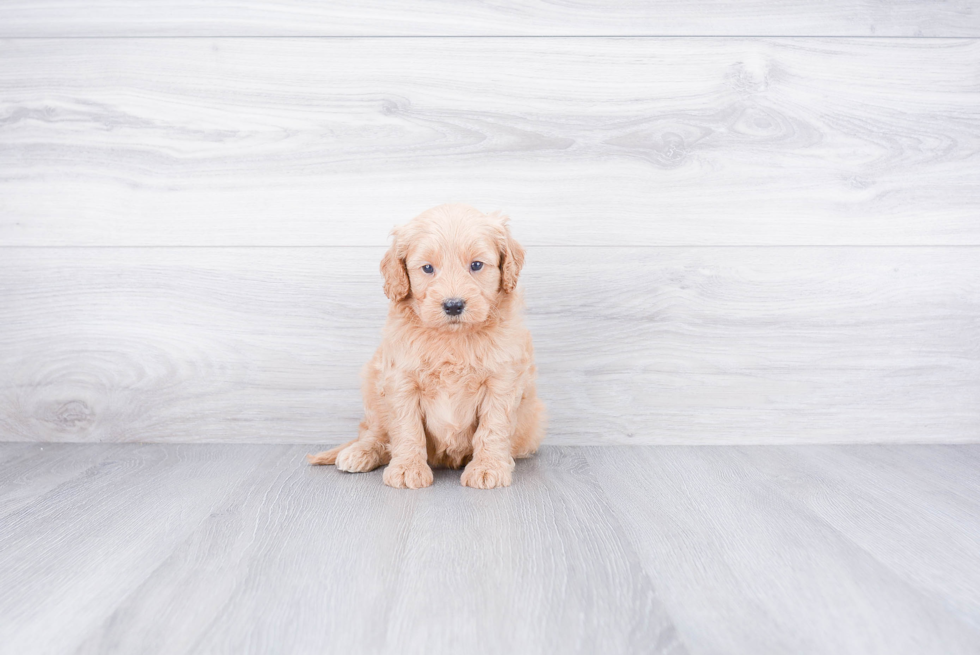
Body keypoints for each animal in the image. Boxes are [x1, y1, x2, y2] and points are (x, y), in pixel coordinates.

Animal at [308, 202, 544, 490]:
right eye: (428, 268)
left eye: (476, 265)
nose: (453, 305)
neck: (451, 338)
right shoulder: (401, 380)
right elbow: (407, 428)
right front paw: (407, 468)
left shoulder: (502, 381)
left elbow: (493, 426)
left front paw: (488, 467)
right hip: (372, 387)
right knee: (375, 432)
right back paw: (360, 452)